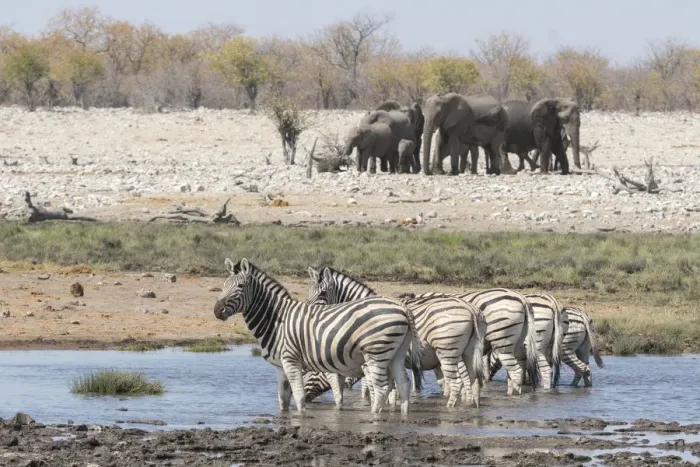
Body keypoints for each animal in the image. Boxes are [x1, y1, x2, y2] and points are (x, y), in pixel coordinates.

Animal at [213, 258, 422, 415]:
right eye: (223, 286)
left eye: (241, 286)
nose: (216, 310)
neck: (277, 320)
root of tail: (402, 307)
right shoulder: (280, 366)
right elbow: (283, 399)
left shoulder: (291, 360)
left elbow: (298, 396)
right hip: (396, 354)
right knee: (403, 385)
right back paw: (403, 418)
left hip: (376, 353)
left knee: (381, 389)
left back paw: (374, 417)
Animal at [304, 267, 487, 408]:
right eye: (310, 292)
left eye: (323, 293)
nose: (308, 311)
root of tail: (471, 309)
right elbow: (390, 386)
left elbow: (371, 385)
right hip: (469, 351)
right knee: (474, 380)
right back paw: (473, 406)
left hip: (449, 350)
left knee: (460, 382)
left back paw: (451, 408)